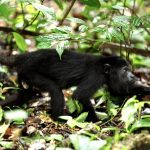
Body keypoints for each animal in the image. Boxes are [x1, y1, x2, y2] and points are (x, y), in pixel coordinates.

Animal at [0, 49, 149, 122]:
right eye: (124, 70)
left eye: (128, 69)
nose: (132, 76)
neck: (104, 67)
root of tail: (25, 56)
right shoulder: (95, 76)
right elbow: (80, 96)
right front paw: (97, 122)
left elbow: (117, 92)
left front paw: (145, 88)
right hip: (31, 71)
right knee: (55, 90)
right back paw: (59, 119)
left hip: (24, 73)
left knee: (24, 94)